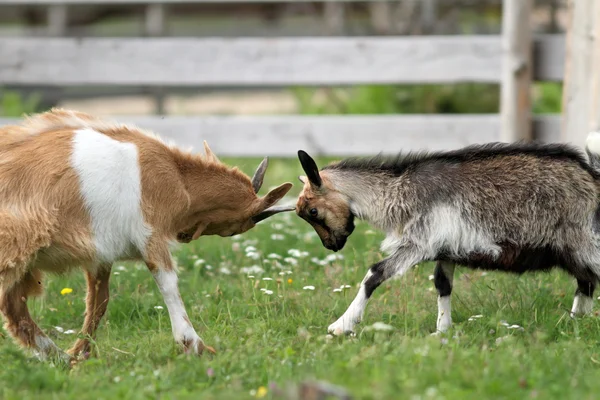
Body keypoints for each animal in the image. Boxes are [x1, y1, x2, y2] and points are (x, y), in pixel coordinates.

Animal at [0, 108, 292, 364]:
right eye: (240, 225)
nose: (185, 235)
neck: (178, 177)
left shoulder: (101, 254)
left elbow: (99, 302)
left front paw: (81, 352)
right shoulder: (149, 234)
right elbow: (168, 283)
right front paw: (193, 345)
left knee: (15, 309)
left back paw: (60, 358)